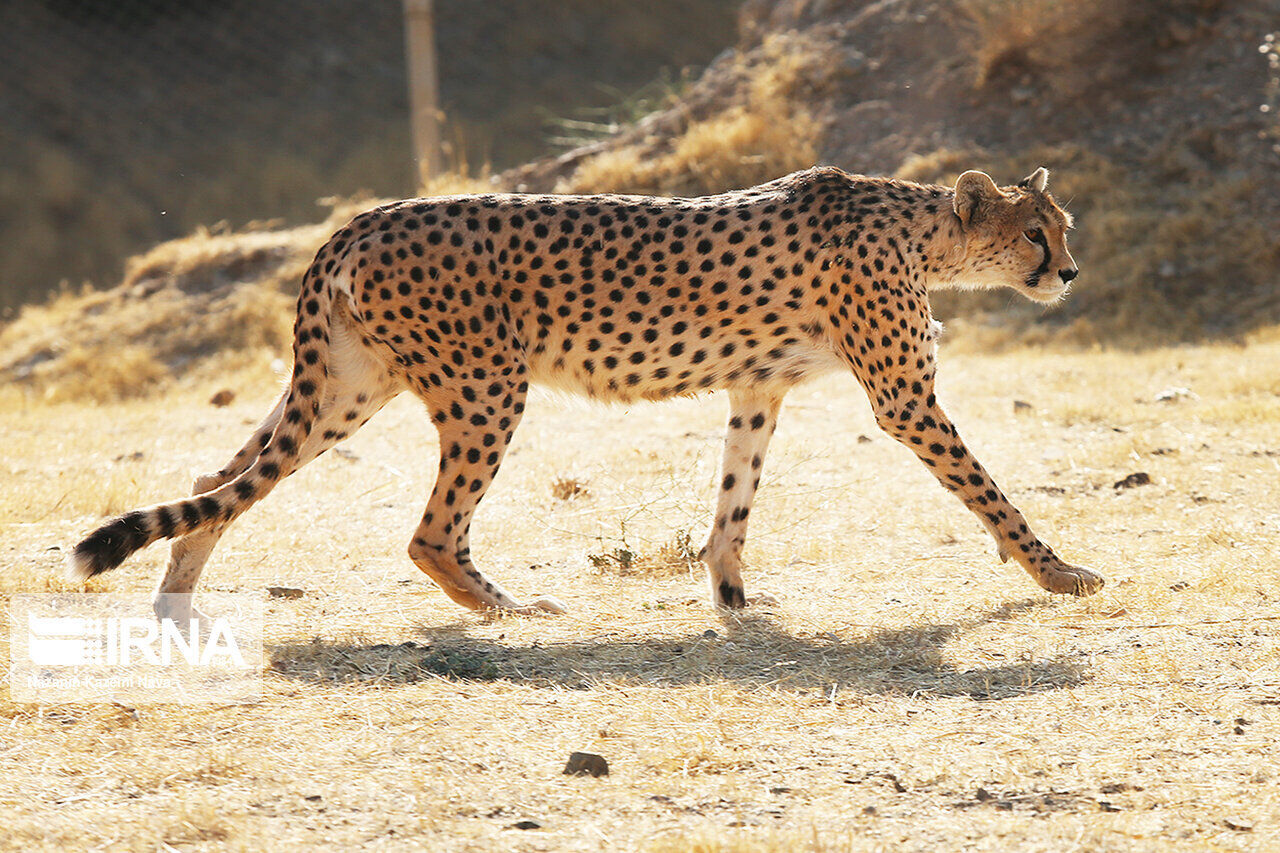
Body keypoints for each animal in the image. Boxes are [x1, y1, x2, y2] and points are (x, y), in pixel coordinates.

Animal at [74, 166, 1105, 617]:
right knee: (429, 532)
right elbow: (991, 492)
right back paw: (508, 607)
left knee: (219, 479)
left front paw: (730, 592)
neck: (923, 231)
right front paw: (1060, 572)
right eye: (1035, 232)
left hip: (346, 388)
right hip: (485, 386)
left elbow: (734, 498)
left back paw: (176, 596)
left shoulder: (757, 387)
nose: (1069, 272)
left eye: (1060, 227)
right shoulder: (903, 399)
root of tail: (363, 216)